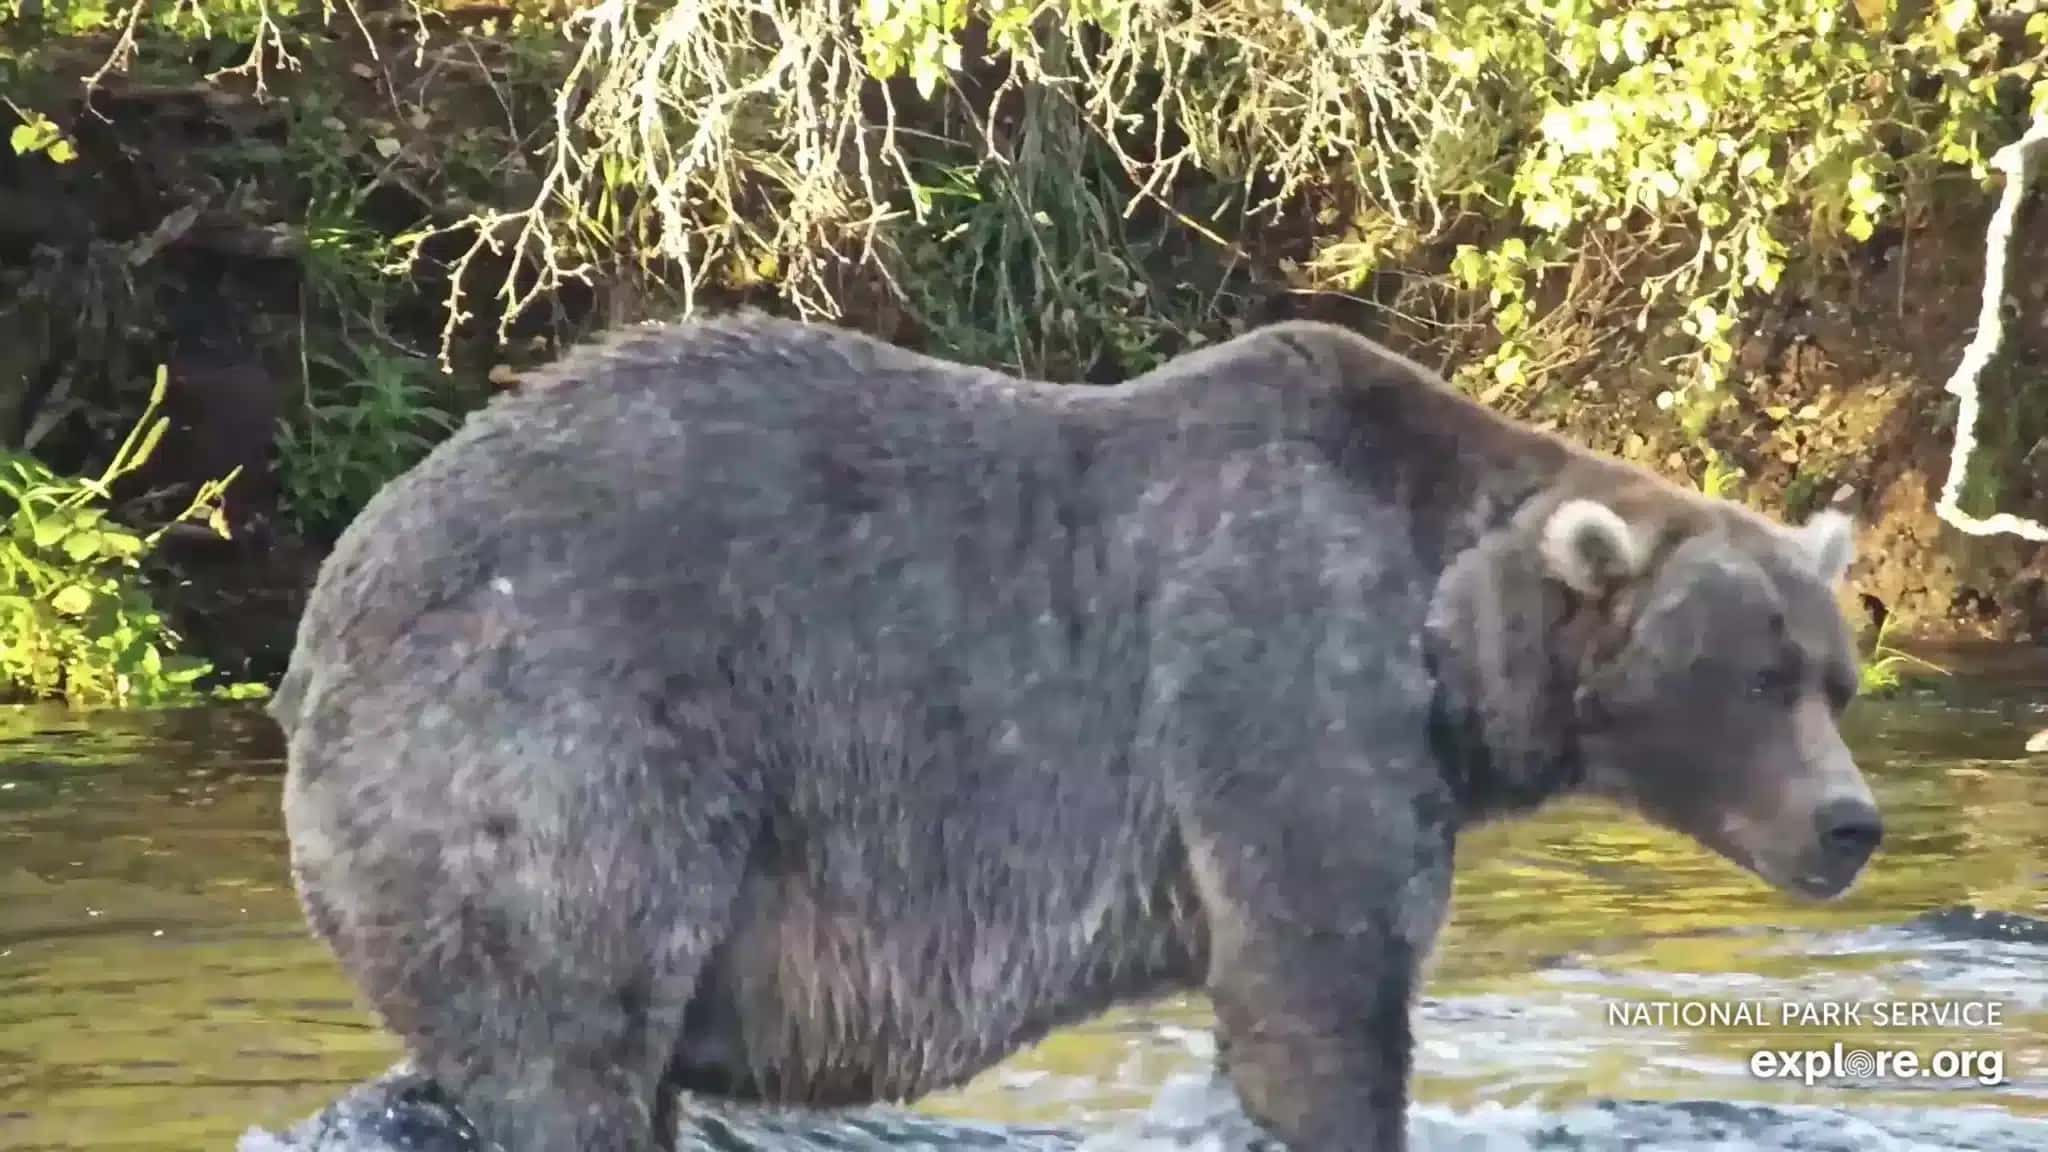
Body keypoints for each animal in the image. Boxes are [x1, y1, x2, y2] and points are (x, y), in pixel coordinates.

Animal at [269, 312, 1882, 1152]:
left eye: (1836, 673)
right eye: (1754, 678)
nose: (1851, 822)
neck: (1452, 648)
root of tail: (328, 611)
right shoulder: (1277, 673)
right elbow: (1317, 988)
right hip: (563, 739)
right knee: (571, 1031)